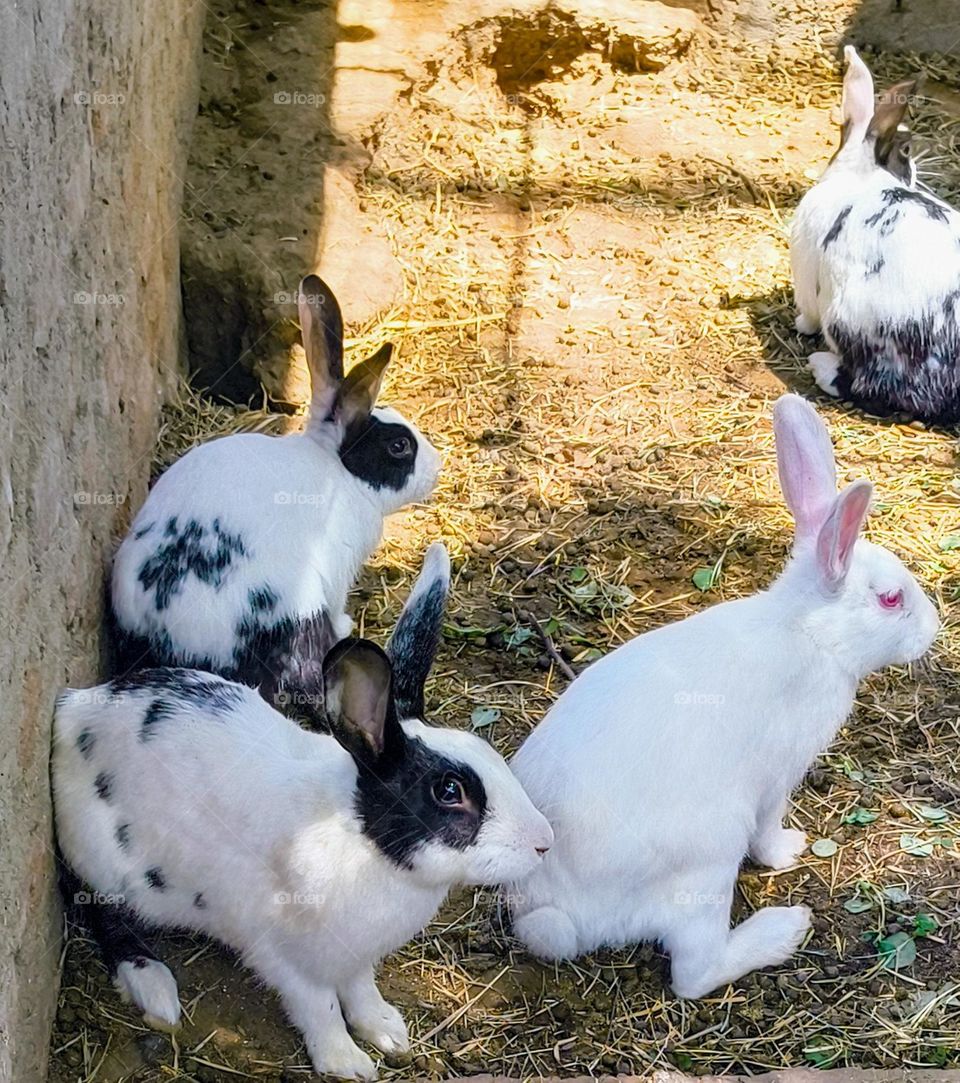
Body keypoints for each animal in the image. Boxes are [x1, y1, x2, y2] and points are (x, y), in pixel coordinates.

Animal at [53, 542, 554, 1081]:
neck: (363, 841)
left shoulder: (353, 957)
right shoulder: (289, 961)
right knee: (107, 918)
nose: (544, 842)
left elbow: (359, 991)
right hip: (105, 863)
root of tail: (75, 710)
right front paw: (347, 1063)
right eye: (449, 790)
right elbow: (321, 1010)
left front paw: (387, 1031)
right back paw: (153, 987)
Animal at [507, 394, 938, 999]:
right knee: (696, 972)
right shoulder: (776, 780)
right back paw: (784, 929)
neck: (811, 634)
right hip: (708, 862)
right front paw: (788, 851)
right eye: (891, 599)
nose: (934, 627)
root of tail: (554, 911)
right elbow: (769, 828)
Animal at [791, 45, 960, 423]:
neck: (861, 176)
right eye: (907, 150)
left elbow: (807, 314)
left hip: (850, 324)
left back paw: (820, 365)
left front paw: (800, 324)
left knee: (868, 387)